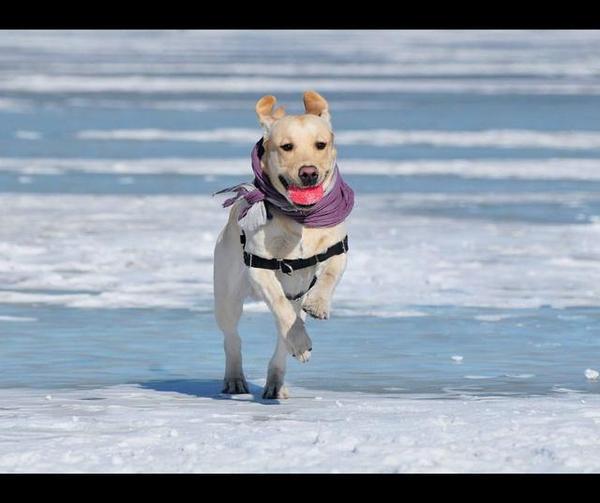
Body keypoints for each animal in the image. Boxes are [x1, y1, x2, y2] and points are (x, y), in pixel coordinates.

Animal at [214, 89, 352, 398]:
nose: (309, 172)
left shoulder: (337, 250)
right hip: (226, 295)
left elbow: (330, 274)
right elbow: (280, 307)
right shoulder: (259, 269)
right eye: (286, 146)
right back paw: (236, 378)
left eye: (320, 144)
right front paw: (301, 343)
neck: (302, 219)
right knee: (234, 337)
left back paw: (277, 382)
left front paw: (319, 304)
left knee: (282, 338)